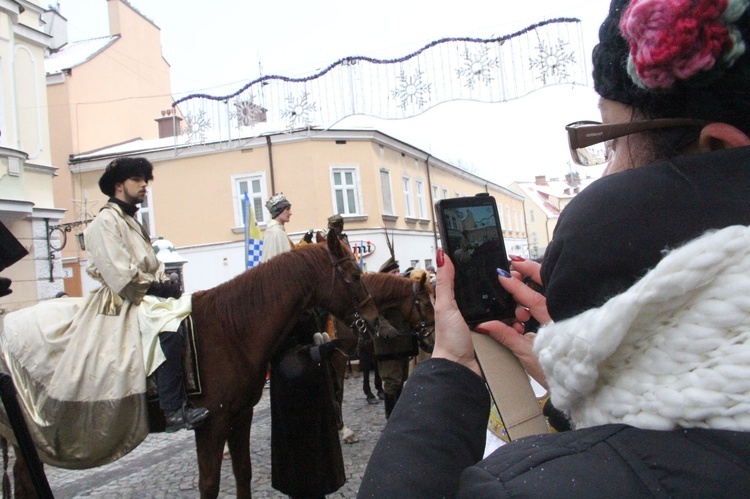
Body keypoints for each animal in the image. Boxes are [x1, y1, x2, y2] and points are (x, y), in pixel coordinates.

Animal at [8, 232, 378, 498]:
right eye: (355, 274)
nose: (373, 320)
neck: (231, 328)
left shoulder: (239, 415)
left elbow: (243, 473)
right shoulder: (211, 424)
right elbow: (209, 484)